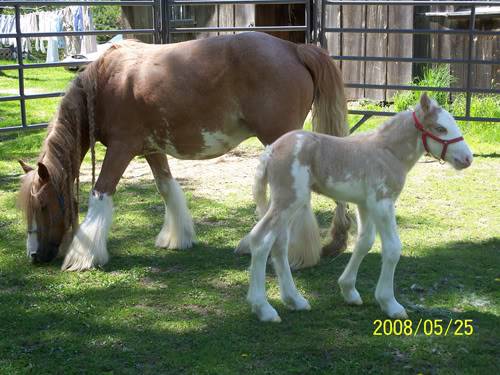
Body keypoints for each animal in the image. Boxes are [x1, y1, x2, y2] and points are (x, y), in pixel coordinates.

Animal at [18, 32, 348, 272]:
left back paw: (297, 254)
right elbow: (167, 188)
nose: (34, 256)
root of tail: (294, 49)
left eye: (43, 205)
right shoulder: (151, 149)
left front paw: (82, 257)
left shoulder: (121, 149)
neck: (105, 83)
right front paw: (178, 238)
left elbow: (101, 193)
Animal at [238, 94, 472, 324]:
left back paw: (295, 300)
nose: (468, 158)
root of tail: (271, 150)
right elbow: (392, 248)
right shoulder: (382, 203)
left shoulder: (365, 205)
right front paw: (390, 304)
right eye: (440, 128)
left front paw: (349, 291)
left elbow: (364, 242)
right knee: (261, 239)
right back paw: (264, 309)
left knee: (279, 243)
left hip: (287, 204)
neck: (388, 152)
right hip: (289, 200)